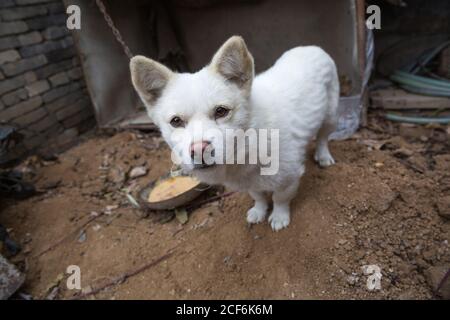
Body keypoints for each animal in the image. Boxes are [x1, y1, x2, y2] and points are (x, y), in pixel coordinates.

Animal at [129, 35, 338, 230]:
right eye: (176, 121)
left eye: (221, 111)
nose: (199, 150)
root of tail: (311, 47)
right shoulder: (249, 182)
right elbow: (258, 196)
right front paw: (259, 211)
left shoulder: (289, 177)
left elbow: (280, 198)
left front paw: (279, 217)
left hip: (330, 117)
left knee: (322, 138)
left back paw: (323, 156)